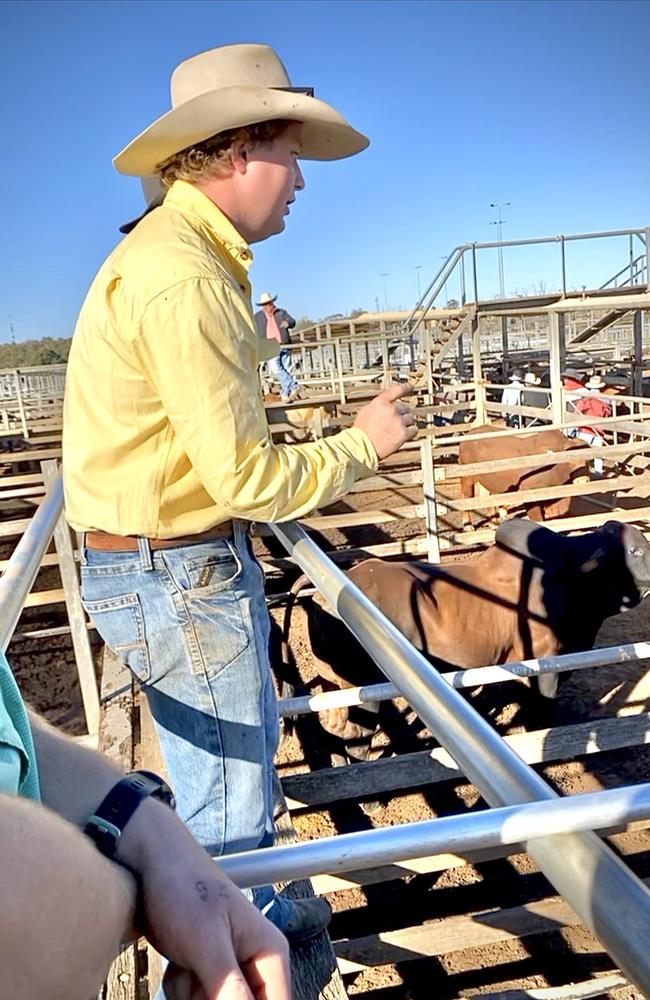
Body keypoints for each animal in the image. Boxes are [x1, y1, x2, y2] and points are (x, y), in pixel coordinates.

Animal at [292, 520, 648, 760]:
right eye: (634, 550)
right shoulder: (545, 662)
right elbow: (543, 710)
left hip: (335, 680)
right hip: (364, 687)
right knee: (355, 732)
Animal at [458, 424, 588, 528]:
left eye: (588, 461)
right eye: (569, 461)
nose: (582, 481)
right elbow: (538, 519)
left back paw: (493, 523)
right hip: (467, 477)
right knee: (466, 497)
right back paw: (468, 525)